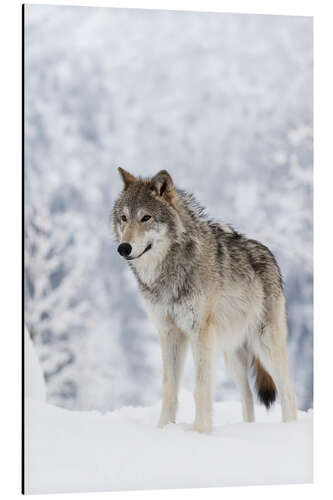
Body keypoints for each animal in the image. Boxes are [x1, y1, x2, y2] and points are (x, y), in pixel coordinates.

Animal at [111, 169, 296, 434]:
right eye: (124, 218)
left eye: (146, 217)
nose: (123, 248)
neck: (169, 272)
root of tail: (269, 255)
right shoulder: (169, 333)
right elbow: (169, 389)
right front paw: (163, 429)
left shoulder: (200, 333)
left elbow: (201, 389)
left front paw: (200, 432)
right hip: (232, 355)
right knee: (247, 396)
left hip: (265, 345)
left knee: (288, 392)